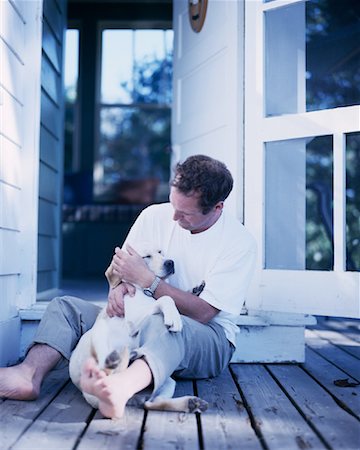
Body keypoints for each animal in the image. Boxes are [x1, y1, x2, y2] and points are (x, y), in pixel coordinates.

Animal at [69, 246, 208, 414]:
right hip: (99, 332)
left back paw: (190, 403)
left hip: (167, 383)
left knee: (150, 403)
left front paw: (194, 290)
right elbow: (166, 298)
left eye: (160, 252)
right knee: (105, 370)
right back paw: (116, 359)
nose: (170, 262)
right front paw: (174, 317)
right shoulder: (135, 320)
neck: (142, 291)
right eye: (146, 256)